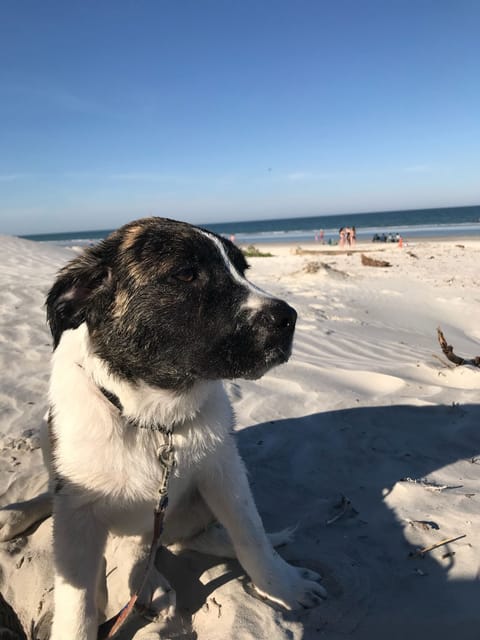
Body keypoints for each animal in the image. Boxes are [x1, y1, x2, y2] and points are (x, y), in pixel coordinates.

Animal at [0, 218, 326, 636]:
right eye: (186, 274)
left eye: (243, 268)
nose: (289, 319)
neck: (154, 419)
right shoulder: (77, 509)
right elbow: (77, 603)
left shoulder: (224, 470)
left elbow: (251, 536)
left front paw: (285, 586)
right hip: (49, 440)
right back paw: (15, 515)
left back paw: (151, 582)